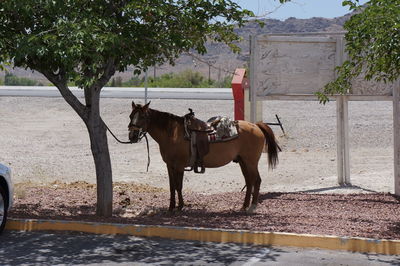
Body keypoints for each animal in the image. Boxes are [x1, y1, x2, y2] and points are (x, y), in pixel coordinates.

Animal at [128, 101, 278, 213]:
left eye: (142, 117)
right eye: (130, 116)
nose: (132, 136)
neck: (173, 133)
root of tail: (256, 126)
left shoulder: (179, 166)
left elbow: (178, 186)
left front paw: (180, 206)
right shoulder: (169, 166)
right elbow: (172, 187)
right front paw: (171, 207)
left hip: (251, 162)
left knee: (256, 180)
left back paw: (252, 206)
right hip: (243, 162)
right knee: (249, 181)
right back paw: (244, 206)